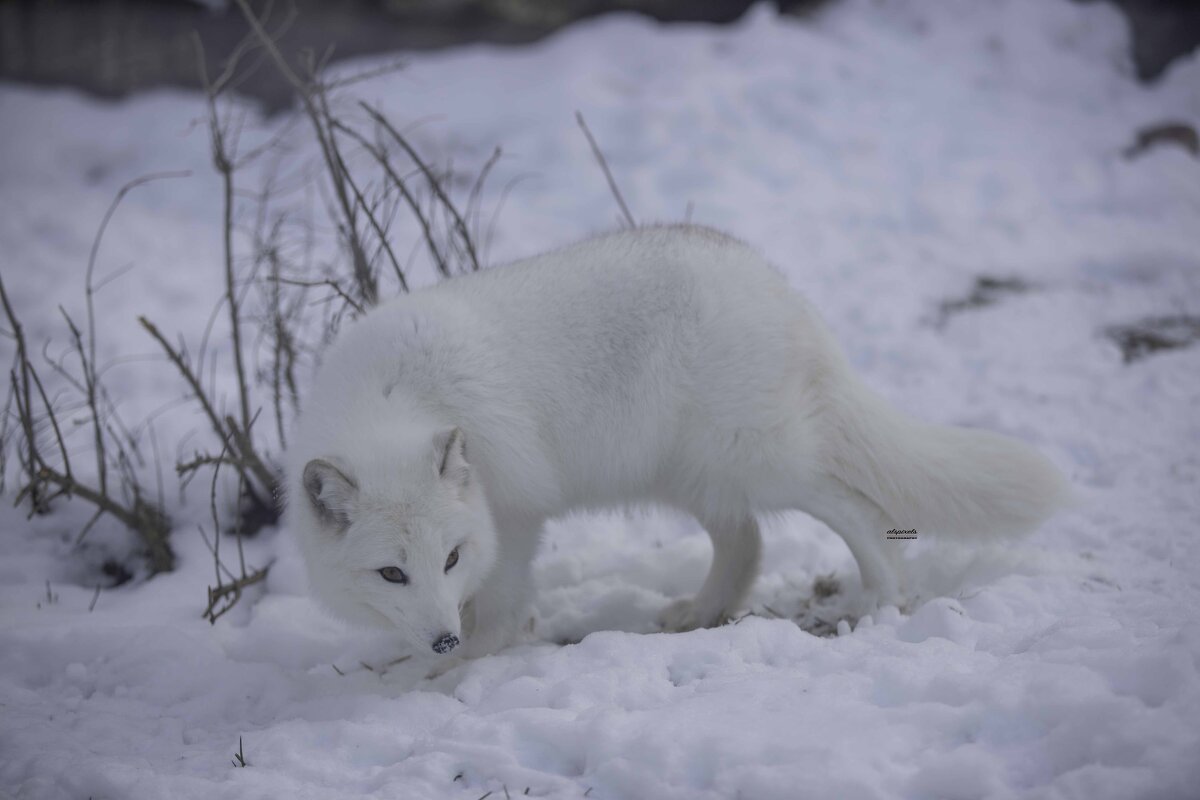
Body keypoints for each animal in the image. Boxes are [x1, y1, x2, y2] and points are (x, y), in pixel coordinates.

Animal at [290, 225, 1070, 662]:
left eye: (448, 558)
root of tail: (776, 286)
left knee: (857, 510)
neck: (396, 398)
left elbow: (501, 608)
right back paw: (703, 613)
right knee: (746, 541)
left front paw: (451, 668)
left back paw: (879, 598)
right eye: (392, 573)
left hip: (756, 459)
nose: (443, 638)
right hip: (688, 472)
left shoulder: (512, 514)